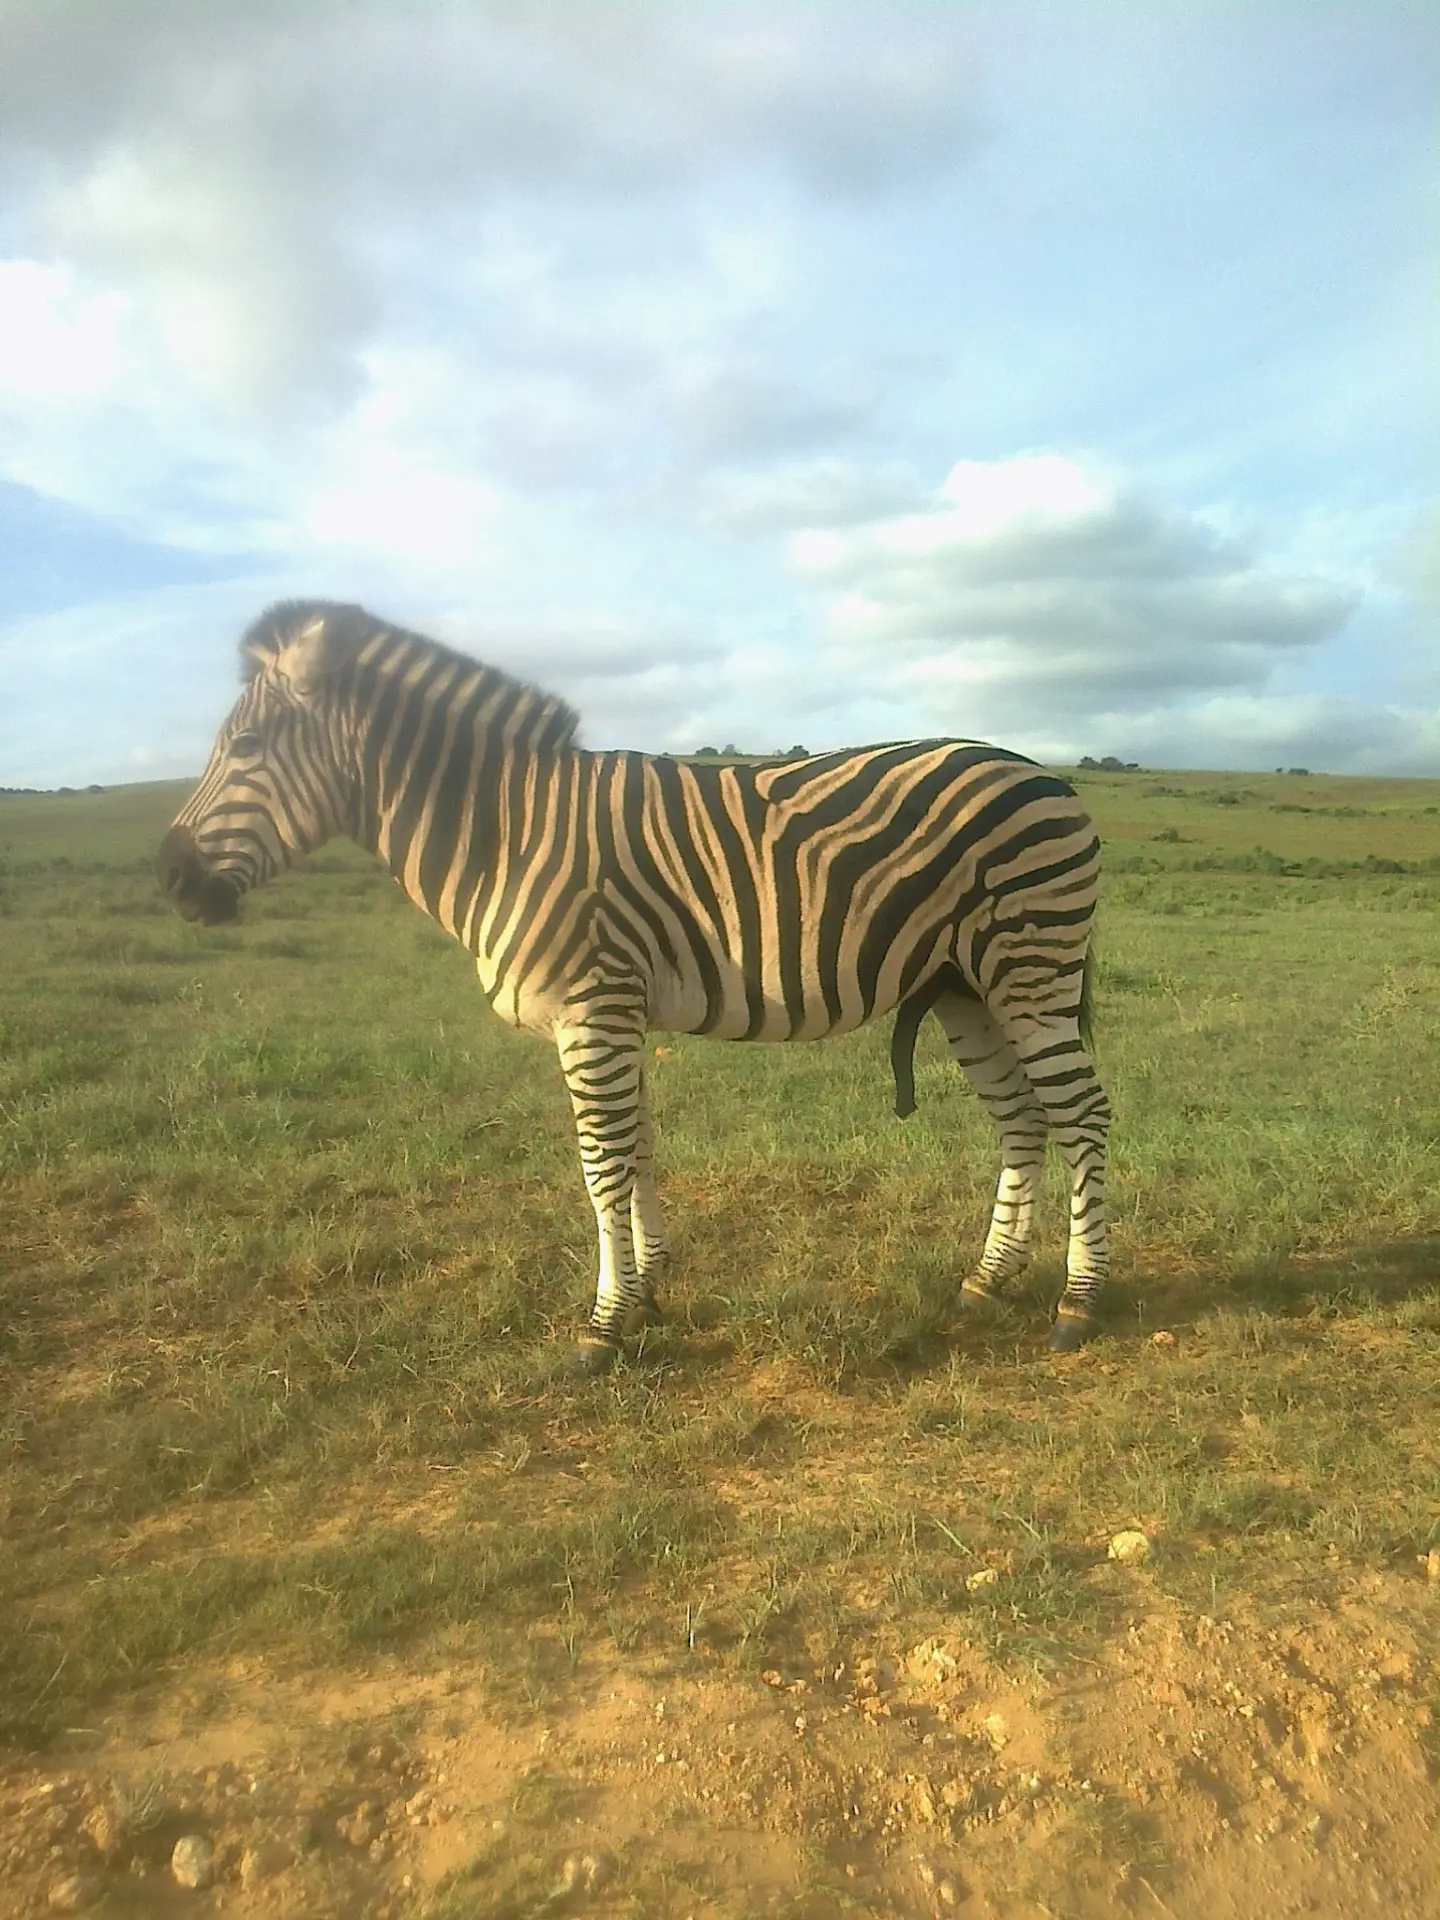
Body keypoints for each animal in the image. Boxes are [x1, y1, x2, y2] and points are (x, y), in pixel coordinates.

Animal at [157, 600, 1112, 1368]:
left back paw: (1080, 1305)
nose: (170, 882)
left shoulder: (591, 1011)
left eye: (245, 747)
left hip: (1028, 968)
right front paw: (648, 1293)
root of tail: (1045, 773)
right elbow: (639, 1151)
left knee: (1082, 1113)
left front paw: (604, 1326)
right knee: (1024, 1120)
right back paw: (986, 1282)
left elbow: (601, 1168)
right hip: (965, 987)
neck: (505, 834)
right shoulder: (619, 1015)